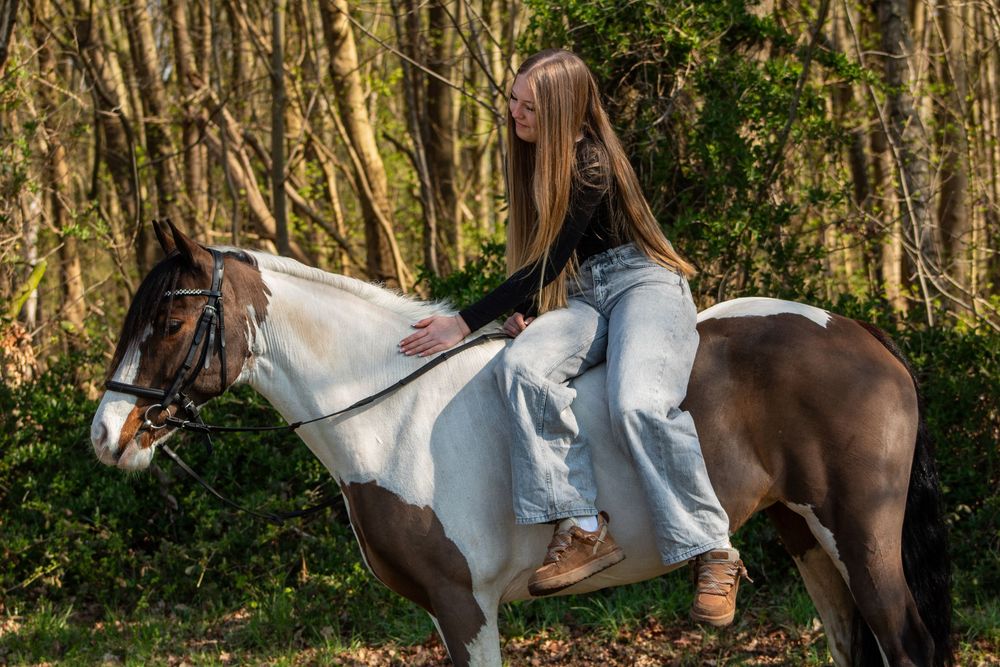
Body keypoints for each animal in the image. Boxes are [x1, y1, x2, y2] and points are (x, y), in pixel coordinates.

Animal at [90, 221, 952, 666]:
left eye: (171, 319)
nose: (107, 434)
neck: (395, 417)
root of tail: (858, 332)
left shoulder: (464, 605)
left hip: (860, 532)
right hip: (804, 531)